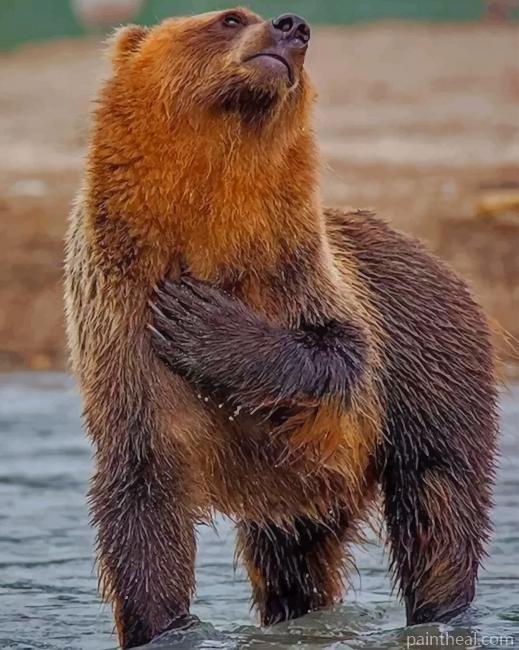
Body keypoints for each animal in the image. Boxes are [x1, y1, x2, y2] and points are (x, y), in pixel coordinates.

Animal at [64, 8, 498, 649]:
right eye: (229, 18)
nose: (292, 26)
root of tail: (439, 260)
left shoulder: (300, 275)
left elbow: (338, 355)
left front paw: (199, 318)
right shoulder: (120, 319)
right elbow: (144, 500)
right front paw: (163, 625)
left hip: (432, 374)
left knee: (439, 508)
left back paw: (443, 611)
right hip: (295, 491)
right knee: (292, 557)